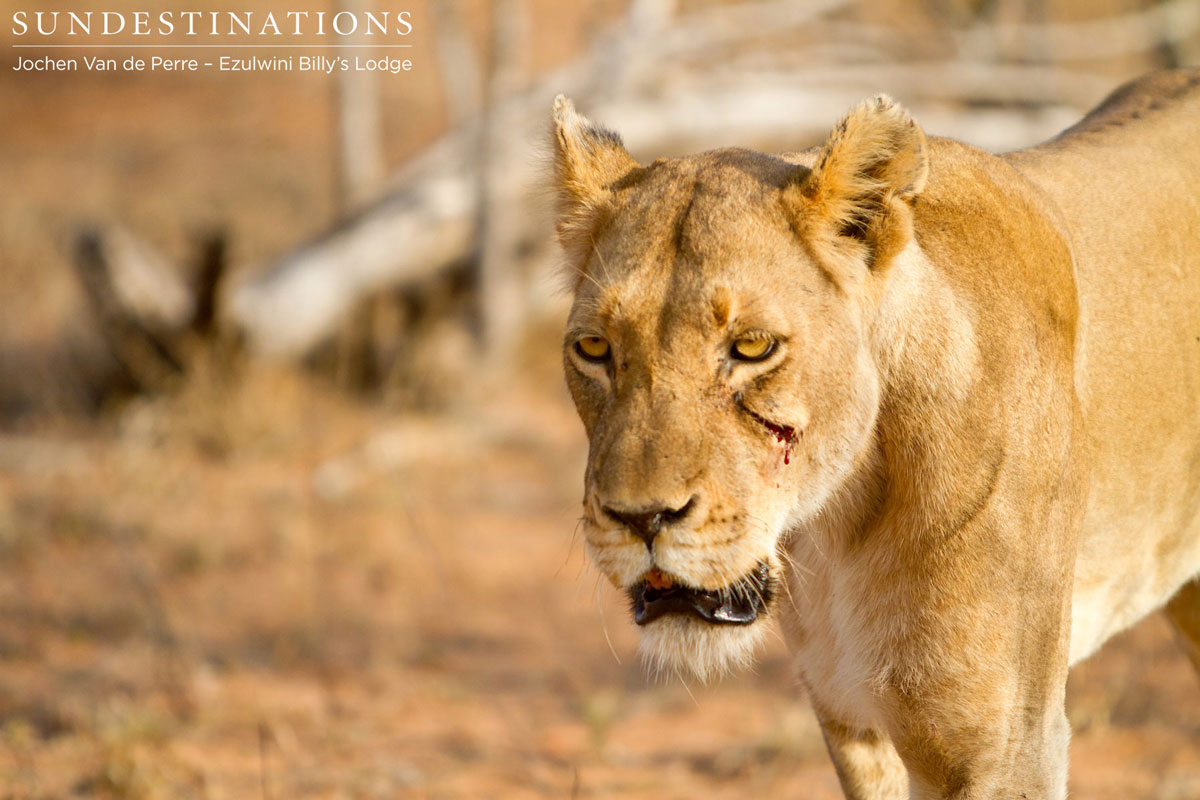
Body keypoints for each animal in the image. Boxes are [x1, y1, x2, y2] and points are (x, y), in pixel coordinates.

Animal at [551, 69, 1200, 799]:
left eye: (752, 346)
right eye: (594, 347)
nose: (641, 519)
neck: (838, 526)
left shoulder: (1005, 747)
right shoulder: (851, 724)